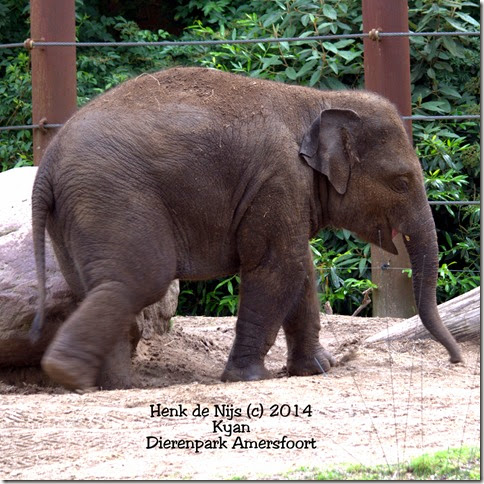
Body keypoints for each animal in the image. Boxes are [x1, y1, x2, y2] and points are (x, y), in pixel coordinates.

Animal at [30, 67, 462, 390]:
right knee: (139, 280)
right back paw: (71, 375)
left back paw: (113, 384)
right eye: (402, 181)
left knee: (99, 287)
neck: (318, 100)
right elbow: (278, 267)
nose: (456, 360)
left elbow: (301, 269)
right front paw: (249, 378)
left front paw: (319, 368)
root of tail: (46, 168)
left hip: (76, 217)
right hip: (113, 199)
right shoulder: (278, 179)